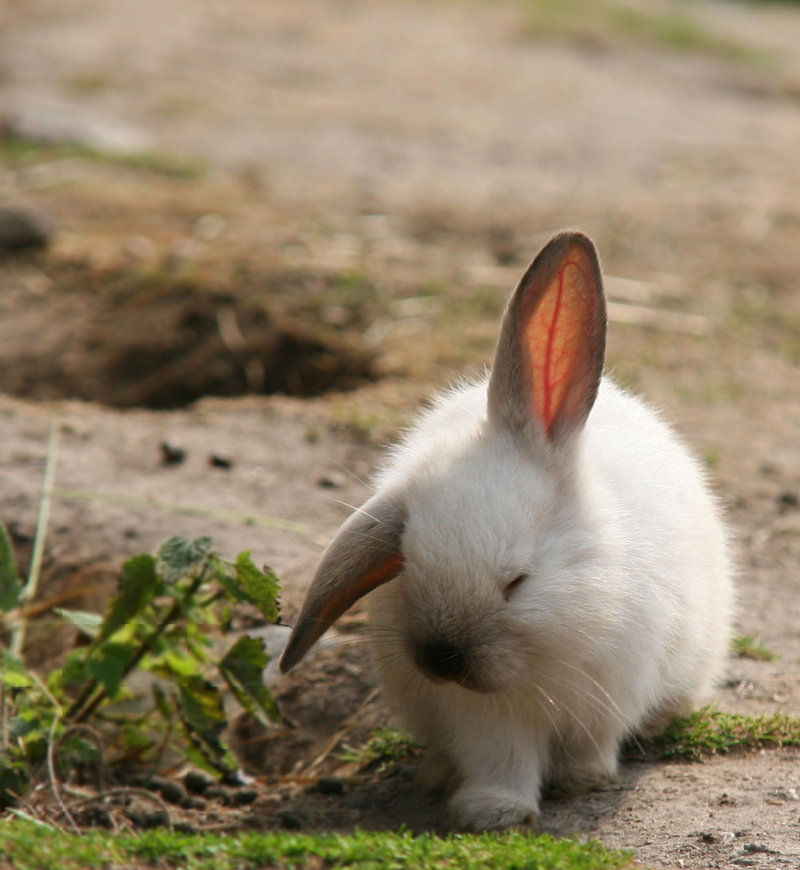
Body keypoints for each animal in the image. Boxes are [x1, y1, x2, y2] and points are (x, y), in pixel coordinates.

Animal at [278, 230, 736, 832]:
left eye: (518, 581)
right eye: (409, 562)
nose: (440, 659)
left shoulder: (609, 694)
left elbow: (592, 745)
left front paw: (582, 779)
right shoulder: (484, 717)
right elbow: (500, 758)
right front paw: (493, 811)